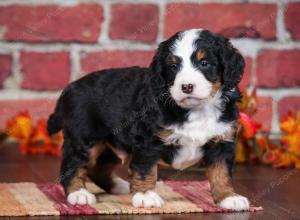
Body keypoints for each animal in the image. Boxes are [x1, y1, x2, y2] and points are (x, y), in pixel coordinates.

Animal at [48, 28, 250, 211]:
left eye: (204, 63)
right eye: (173, 66)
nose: (187, 86)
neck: (196, 110)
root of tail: (71, 88)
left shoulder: (222, 141)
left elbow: (221, 173)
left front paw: (228, 197)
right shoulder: (148, 140)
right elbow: (146, 169)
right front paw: (145, 195)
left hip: (110, 143)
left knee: (98, 168)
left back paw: (119, 186)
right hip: (84, 138)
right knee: (72, 165)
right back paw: (78, 193)